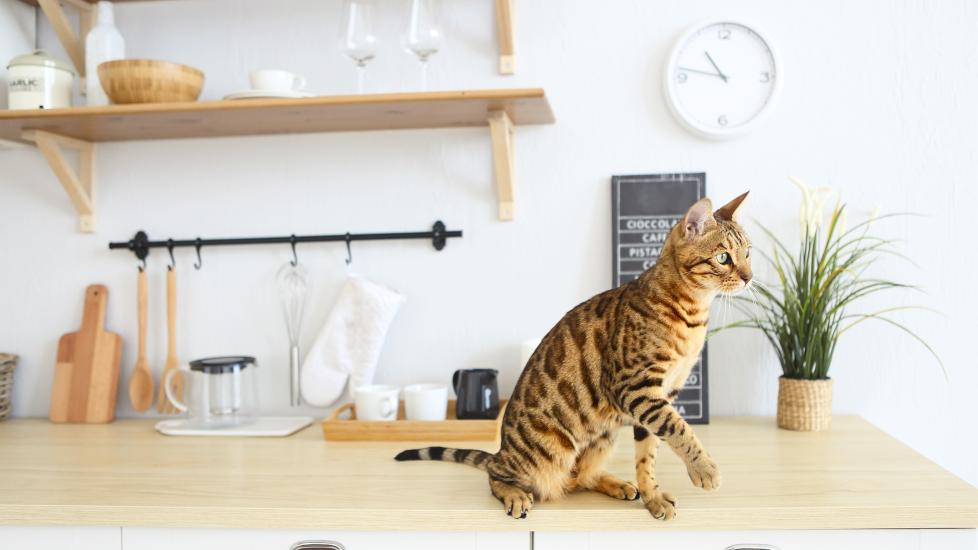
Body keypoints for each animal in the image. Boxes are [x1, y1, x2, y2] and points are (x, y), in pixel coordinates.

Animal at [392, 193, 752, 520]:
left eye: (748, 253)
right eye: (723, 257)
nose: (749, 277)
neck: (693, 314)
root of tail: (502, 449)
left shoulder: (663, 393)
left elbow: (647, 455)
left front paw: (652, 496)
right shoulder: (637, 388)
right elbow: (679, 429)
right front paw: (704, 469)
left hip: (603, 436)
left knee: (579, 476)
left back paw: (616, 484)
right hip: (544, 454)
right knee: (497, 474)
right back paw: (515, 494)